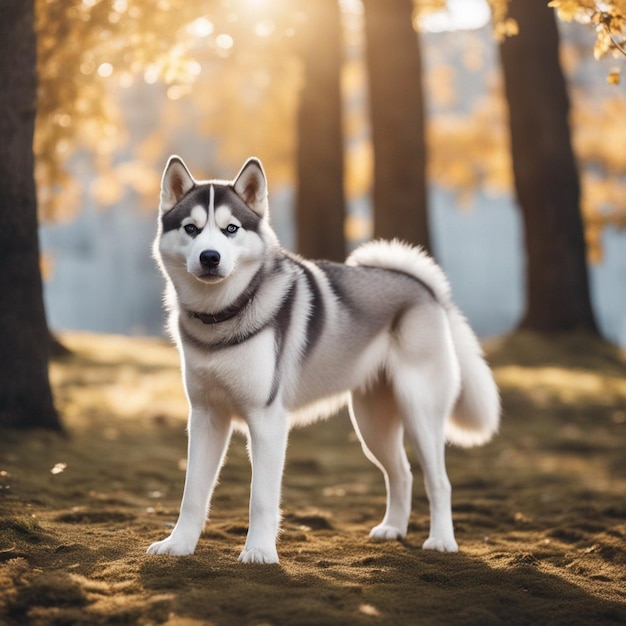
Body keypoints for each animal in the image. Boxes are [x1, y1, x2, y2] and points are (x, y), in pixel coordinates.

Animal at [146, 155, 498, 560]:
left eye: (230, 229)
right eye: (191, 229)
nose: (209, 257)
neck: (221, 316)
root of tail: (426, 289)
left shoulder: (267, 421)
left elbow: (261, 498)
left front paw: (260, 552)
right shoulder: (206, 417)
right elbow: (192, 494)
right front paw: (179, 544)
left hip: (419, 411)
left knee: (439, 481)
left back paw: (441, 540)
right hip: (372, 424)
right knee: (401, 473)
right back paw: (393, 528)